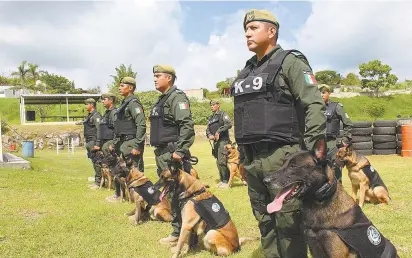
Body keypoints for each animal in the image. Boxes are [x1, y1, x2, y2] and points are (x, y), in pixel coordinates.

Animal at [264, 138, 400, 258]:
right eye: (283, 164)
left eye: (293, 166)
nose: (265, 181)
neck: (320, 200)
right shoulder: (314, 249)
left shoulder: (336, 254)